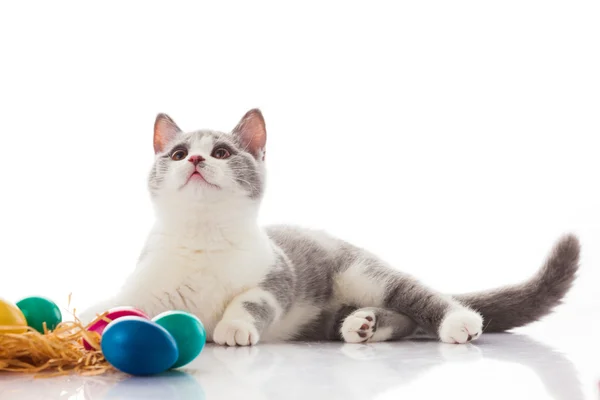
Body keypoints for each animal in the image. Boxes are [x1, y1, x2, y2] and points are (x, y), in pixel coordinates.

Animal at [81, 110, 580, 346]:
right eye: (179, 153)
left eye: (222, 152)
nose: (198, 160)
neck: (203, 239)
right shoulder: (143, 289)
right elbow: (113, 305)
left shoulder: (278, 276)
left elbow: (253, 300)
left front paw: (235, 326)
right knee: (401, 319)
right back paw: (363, 325)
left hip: (361, 272)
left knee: (419, 297)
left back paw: (455, 321)